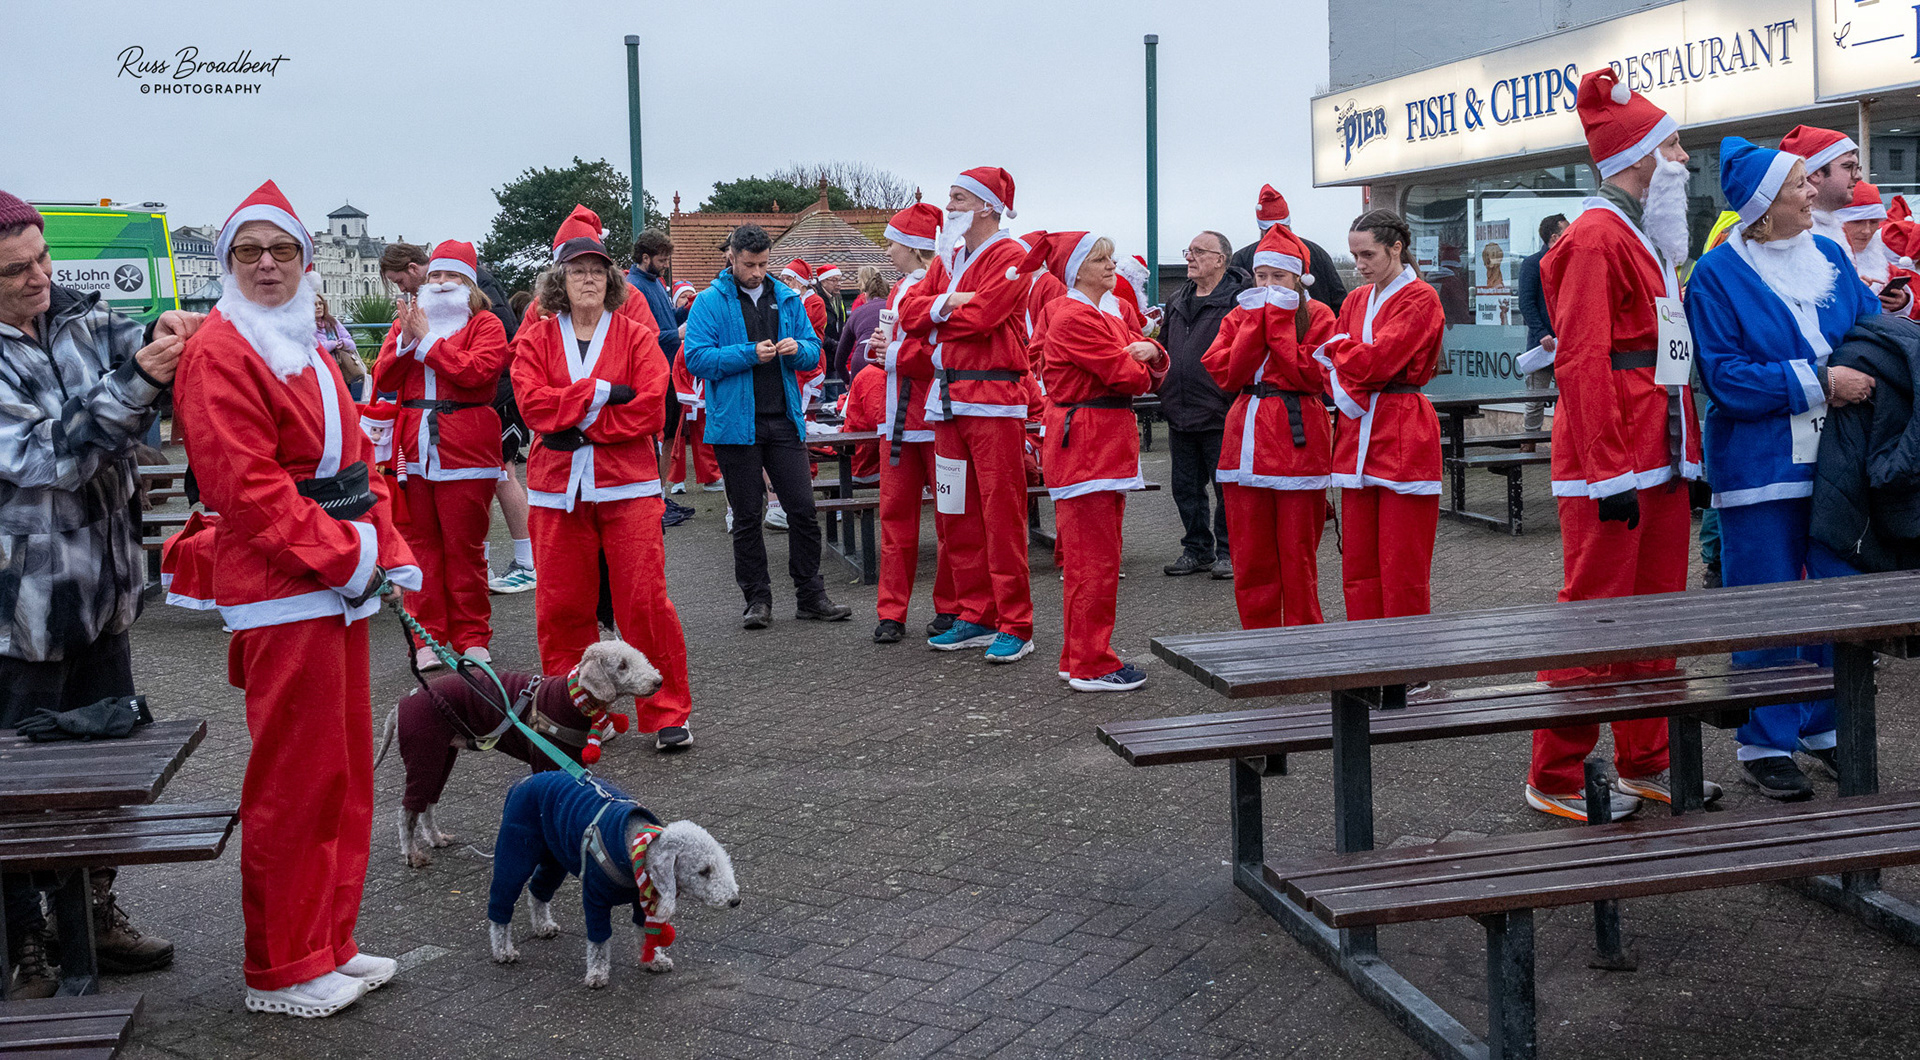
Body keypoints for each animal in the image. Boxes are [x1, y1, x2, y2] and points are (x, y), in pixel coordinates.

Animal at [378, 639, 663, 868]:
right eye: (622, 665)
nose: (658, 681)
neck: (572, 699)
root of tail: (401, 704)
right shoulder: (545, 761)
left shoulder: (571, 759)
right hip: (424, 754)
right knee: (407, 812)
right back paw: (412, 855)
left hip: (442, 756)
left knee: (427, 804)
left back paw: (437, 839)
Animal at [485, 771, 739, 987]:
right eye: (704, 871)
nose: (735, 901)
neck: (632, 846)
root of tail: (522, 782)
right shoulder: (594, 899)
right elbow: (598, 940)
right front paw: (597, 973)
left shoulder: (642, 898)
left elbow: (646, 931)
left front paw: (654, 960)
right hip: (516, 853)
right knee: (501, 904)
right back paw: (503, 951)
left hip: (554, 858)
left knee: (538, 890)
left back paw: (543, 926)